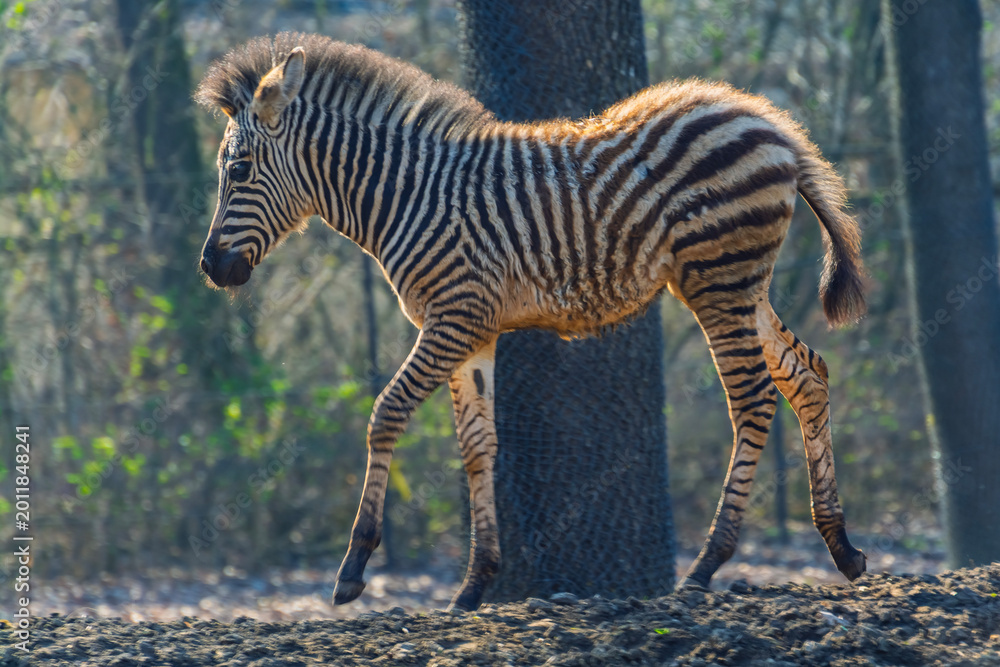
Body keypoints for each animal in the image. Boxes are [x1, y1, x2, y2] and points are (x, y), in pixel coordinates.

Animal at [196, 33, 867, 611]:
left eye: (240, 170)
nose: (210, 268)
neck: (407, 196)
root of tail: (769, 121)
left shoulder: (452, 317)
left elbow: (385, 413)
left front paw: (354, 568)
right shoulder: (472, 331)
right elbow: (477, 445)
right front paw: (474, 584)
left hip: (718, 280)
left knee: (753, 399)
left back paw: (707, 565)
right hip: (738, 285)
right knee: (807, 376)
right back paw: (842, 547)